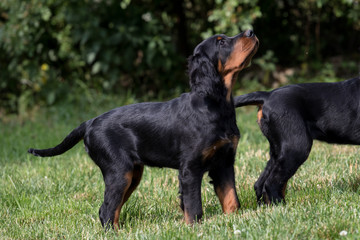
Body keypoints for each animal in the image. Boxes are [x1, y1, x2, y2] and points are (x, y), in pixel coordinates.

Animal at [28, 30, 258, 229]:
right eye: (221, 42)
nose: (251, 31)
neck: (215, 103)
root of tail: (90, 122)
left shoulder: (224, 162)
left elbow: (231, 199)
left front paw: (233, 221)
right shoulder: (190, 169)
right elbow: (193, 207)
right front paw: (194, 229)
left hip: (133, 173)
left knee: (110, 209)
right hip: (120, 172)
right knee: (107, 209)